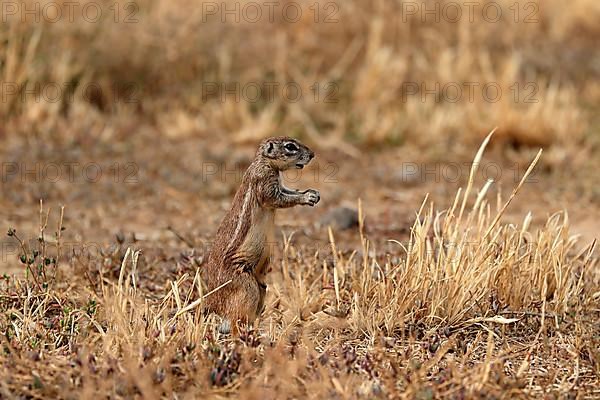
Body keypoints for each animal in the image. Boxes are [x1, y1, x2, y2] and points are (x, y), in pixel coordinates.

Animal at [204, 136, 322, 332]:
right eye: (290, 146)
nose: (312, 154)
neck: (263, 161)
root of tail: (216, 307)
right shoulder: (266, 183)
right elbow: (278, 199)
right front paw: (307, 197)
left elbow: (288, 191)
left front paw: (312, 192)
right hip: (246, 286)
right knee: (236, 316)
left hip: (262, 287)